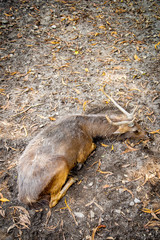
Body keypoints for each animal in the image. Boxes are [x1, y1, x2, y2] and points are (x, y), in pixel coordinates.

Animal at [17, 88, 149, 208]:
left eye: (138, 123)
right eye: (135, 130)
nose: (148, 135)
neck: (89, 128)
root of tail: (26, 197)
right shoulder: (84, 147)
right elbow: (91, 149)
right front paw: (79, 166)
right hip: (61, 164)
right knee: (52, 201)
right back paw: (73, 178)